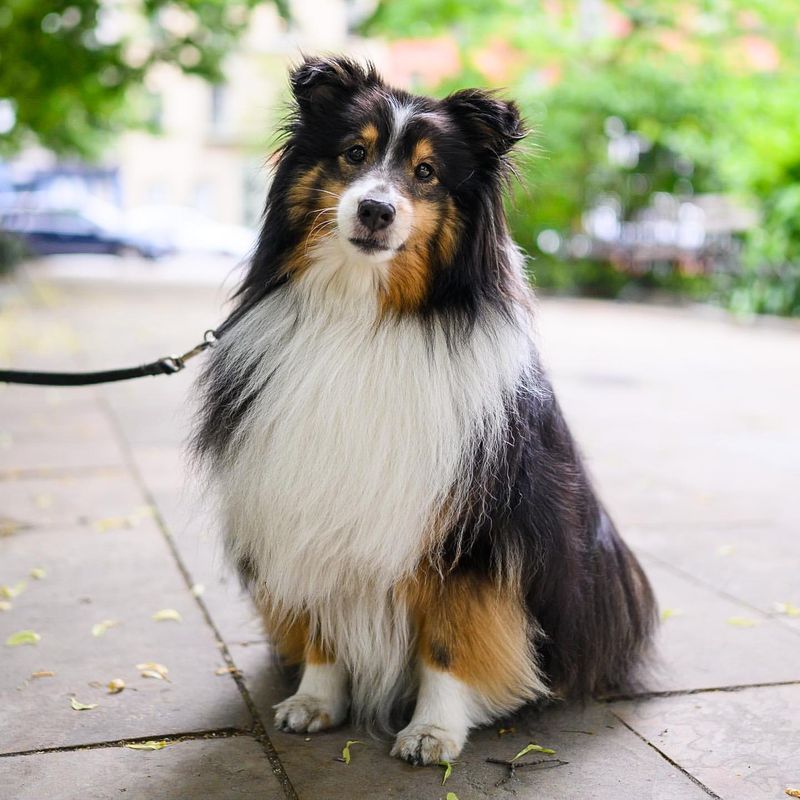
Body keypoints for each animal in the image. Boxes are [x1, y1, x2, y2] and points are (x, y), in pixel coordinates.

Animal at [194, 53, 656, 764]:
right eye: (354, 154)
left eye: (427, 172)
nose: (375, 210)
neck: (366, 319)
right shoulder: (302, 504)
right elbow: (323, 621)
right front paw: (317, 700)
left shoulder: (470, 537)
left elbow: (450, 637)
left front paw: (433, 732)